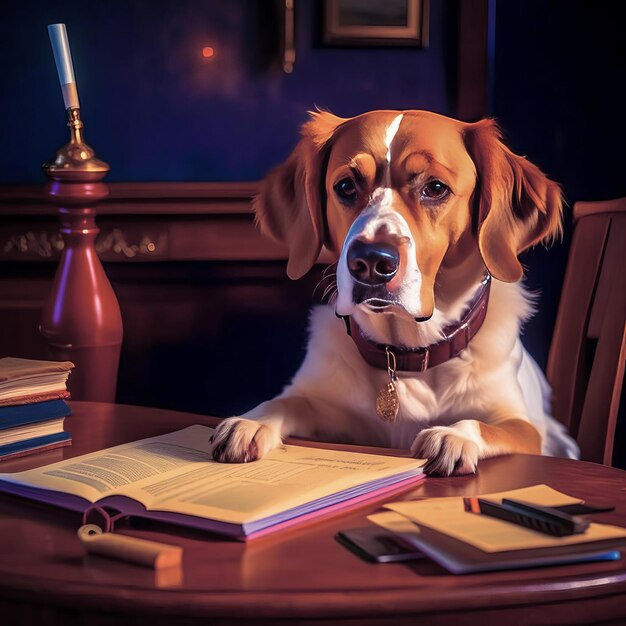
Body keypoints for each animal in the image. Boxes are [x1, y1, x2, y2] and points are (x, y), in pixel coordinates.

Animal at [208, 111, 576, 472]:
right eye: (345, 186)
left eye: (435, 188)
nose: (371, 261)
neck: (407, 356)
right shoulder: (327, 405)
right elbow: (287, 401)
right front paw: (250, 421)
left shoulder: (523, 426)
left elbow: (483, 424)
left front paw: (453, 436)